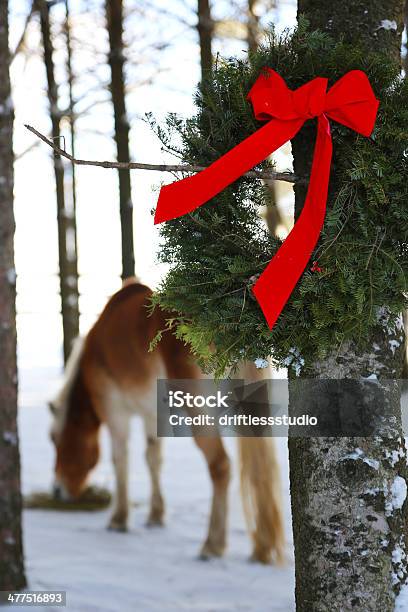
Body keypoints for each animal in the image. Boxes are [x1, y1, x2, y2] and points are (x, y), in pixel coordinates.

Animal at [49, 280, 286, 560]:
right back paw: (263, 546)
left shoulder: (116, 414)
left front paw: (119, 519)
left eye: (56, 440)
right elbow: (153, 459)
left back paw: (212, 544)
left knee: (220, 465)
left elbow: (120, 460)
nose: (57, 490)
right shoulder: (153, 415)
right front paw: (156, 515)